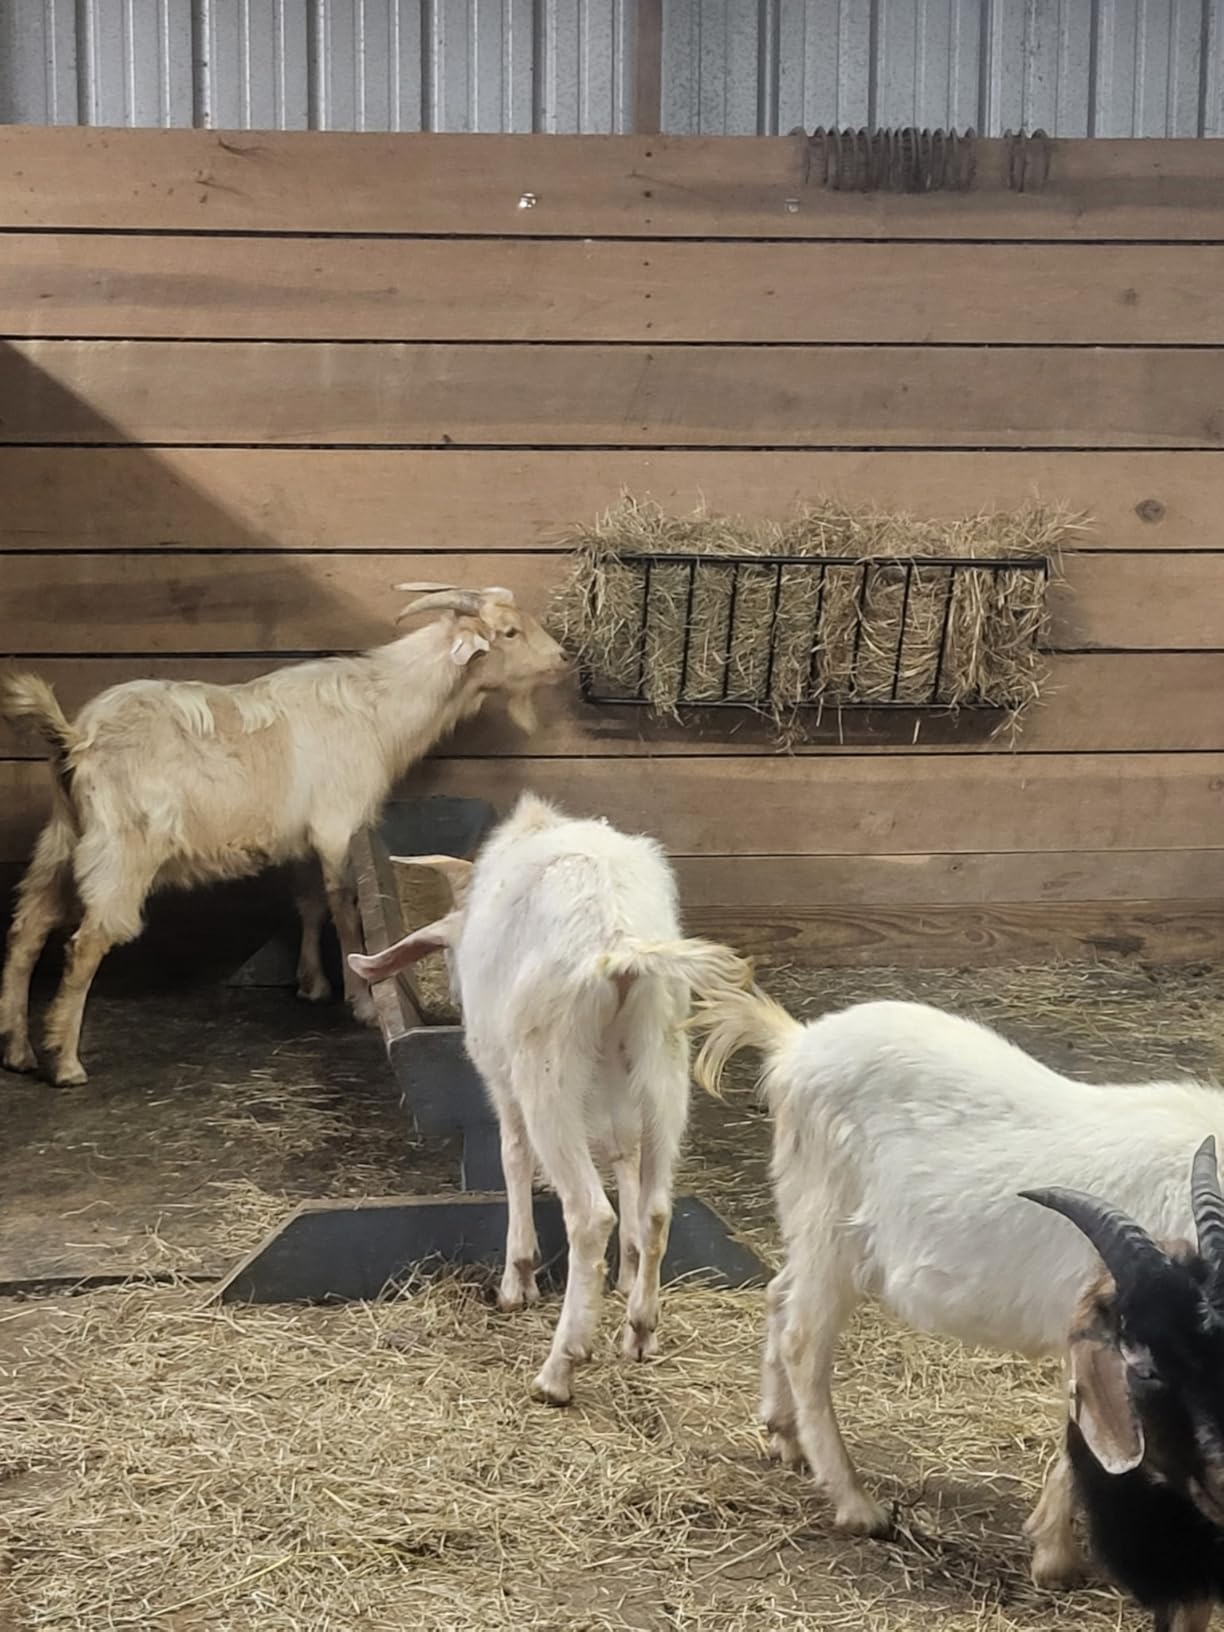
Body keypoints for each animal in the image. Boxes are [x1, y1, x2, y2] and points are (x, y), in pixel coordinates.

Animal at [0, 585, 566, 1087]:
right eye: (510, 632)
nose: (560, 659)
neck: (378, 708)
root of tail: (77, 740)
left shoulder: (303, 836)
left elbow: (309, 903)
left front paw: (312, 983)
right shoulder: (338, 825)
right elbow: (344, 904)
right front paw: (362, 1001)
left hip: (63, 837)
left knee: (28, 930)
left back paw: (18, 1050)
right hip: (122, 849)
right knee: (85, 944)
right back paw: (64, 1062)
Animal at [347, 793, 747, 1406]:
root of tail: (619, 944)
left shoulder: (501, 1081)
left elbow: (512, 1157)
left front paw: (518, 1279)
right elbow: (624, 1156)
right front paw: (626, 1276)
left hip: (547, 1070)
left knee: (588, 1213)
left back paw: (560, 1368)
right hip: (663, 1058)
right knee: (656, 1205)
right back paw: (639, 1331)